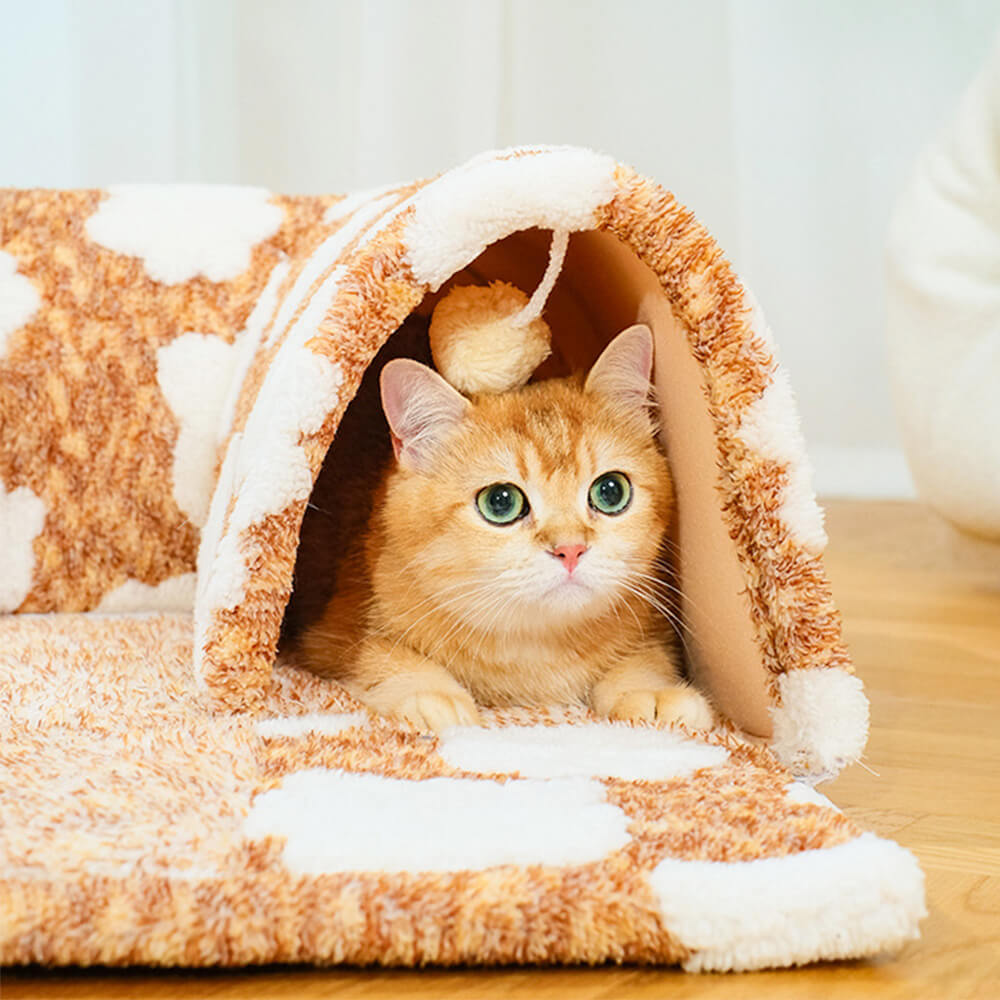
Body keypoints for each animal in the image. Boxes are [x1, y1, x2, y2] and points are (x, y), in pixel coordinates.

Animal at [300, 324, 716, 732]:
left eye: (611, 492)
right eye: (501, 502)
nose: (570, 549)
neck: (538, 647)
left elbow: (648, 656)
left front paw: (652, 692)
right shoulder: (332, 636)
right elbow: (375, 655)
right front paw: (432, 695)